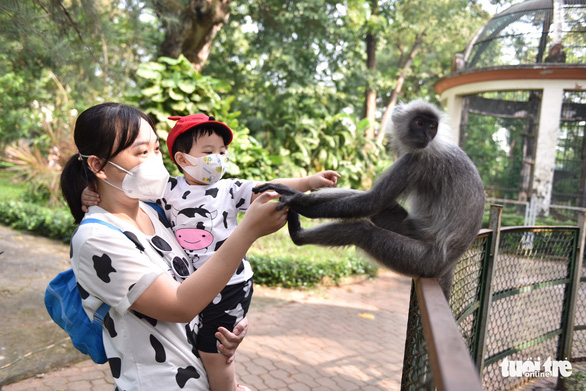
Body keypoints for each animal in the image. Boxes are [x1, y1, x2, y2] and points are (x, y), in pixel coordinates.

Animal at [253, 100, 486, 298]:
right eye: (420, 123)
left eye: (432, 127)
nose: (425, 135)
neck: (433, 145)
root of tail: (450, 262)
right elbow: (370, 202)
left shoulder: (416, 161)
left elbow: (372, 202)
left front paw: (298, 199)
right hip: (413, 233)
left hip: (421, 260)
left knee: (362, 230)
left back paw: (298, 235)